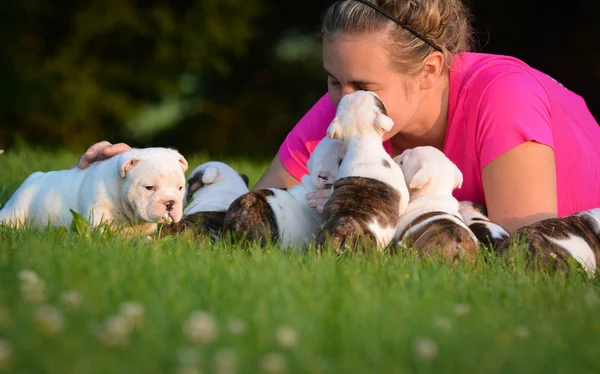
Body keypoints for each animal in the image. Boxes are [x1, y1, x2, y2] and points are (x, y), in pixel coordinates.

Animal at [0, 146, 188, 234]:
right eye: (149, 188)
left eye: (180, 188)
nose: (170, 203)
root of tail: (33, 177)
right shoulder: (97, 213)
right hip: (17, 209)